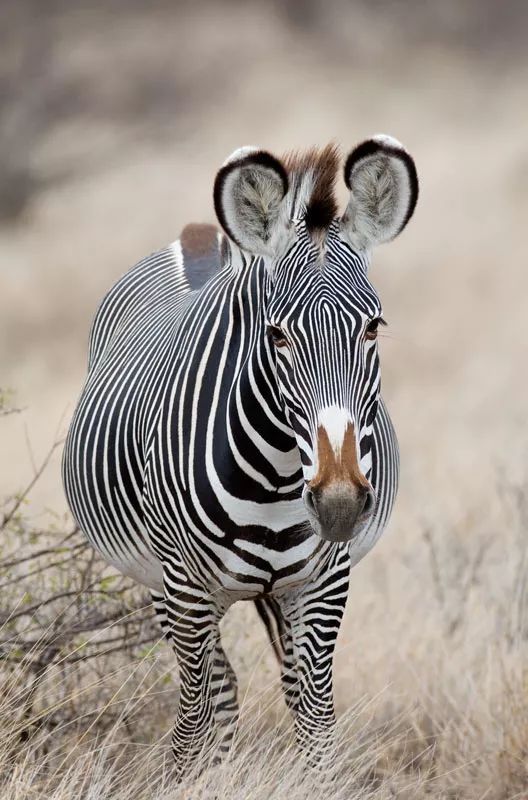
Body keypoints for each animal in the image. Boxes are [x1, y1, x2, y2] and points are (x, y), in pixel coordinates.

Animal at [62, 138, 416, 776]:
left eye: (373, 329)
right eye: (276, 336)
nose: (340, 503)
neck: (275, 478)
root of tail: (205, 235)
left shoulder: (325, 581)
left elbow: (315, 719)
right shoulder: (184, 586)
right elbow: (193, 718)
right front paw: (189, 780)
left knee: (280, 684)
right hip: (164, 586)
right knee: (219, 693)